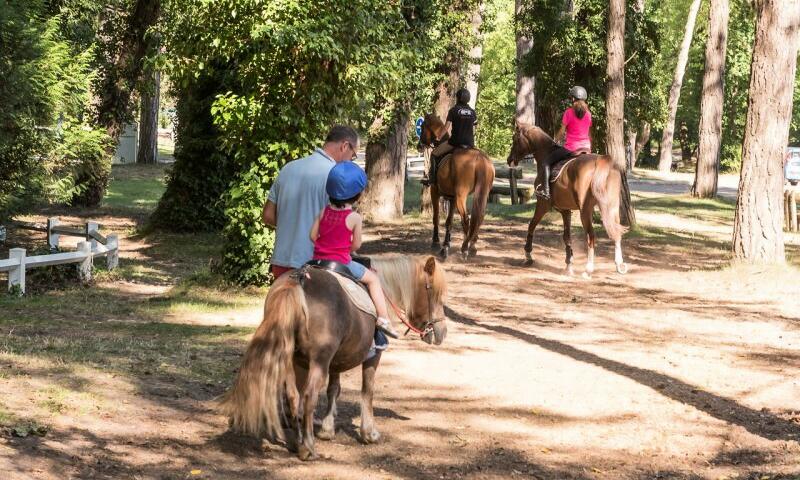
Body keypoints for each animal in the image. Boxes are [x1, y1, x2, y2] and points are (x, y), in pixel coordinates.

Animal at [219, 255, 446, 462]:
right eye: (434, 293)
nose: (442, 332)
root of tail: (299, 280)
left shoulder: (335, 361)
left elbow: (333, 389)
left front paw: (327, 429)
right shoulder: (373, 356)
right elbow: (367, 391)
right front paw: (369, 433)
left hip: (293, 359)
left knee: (293, 396)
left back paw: (296, 441)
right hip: (319, 360)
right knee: (309, 395)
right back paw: (308, 447)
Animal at [418, 113, 494, 258]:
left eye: (423, 126)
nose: (419, 145)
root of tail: (479, 158)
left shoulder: (435, 192)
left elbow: (436, 217)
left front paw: (436, 243)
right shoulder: (452, 198)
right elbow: (449, 221)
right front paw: (446, 245)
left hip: (461, 196)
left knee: (466, 219)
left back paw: (465, 248)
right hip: (482, 194)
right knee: (479, 217)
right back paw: (472, 246)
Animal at [510, 120, 628, 276]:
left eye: (514, 139)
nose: (509, 160)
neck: (546, 152)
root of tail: (600, 161)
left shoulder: (543, 205)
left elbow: (532, 225)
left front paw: (528, 255)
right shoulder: (565, 210)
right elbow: (567, 237)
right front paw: (568, 264)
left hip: (585, 210)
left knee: (591, 236)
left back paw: (588, 269)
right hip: (612, 207)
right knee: (616, 233)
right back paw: (619, 264)